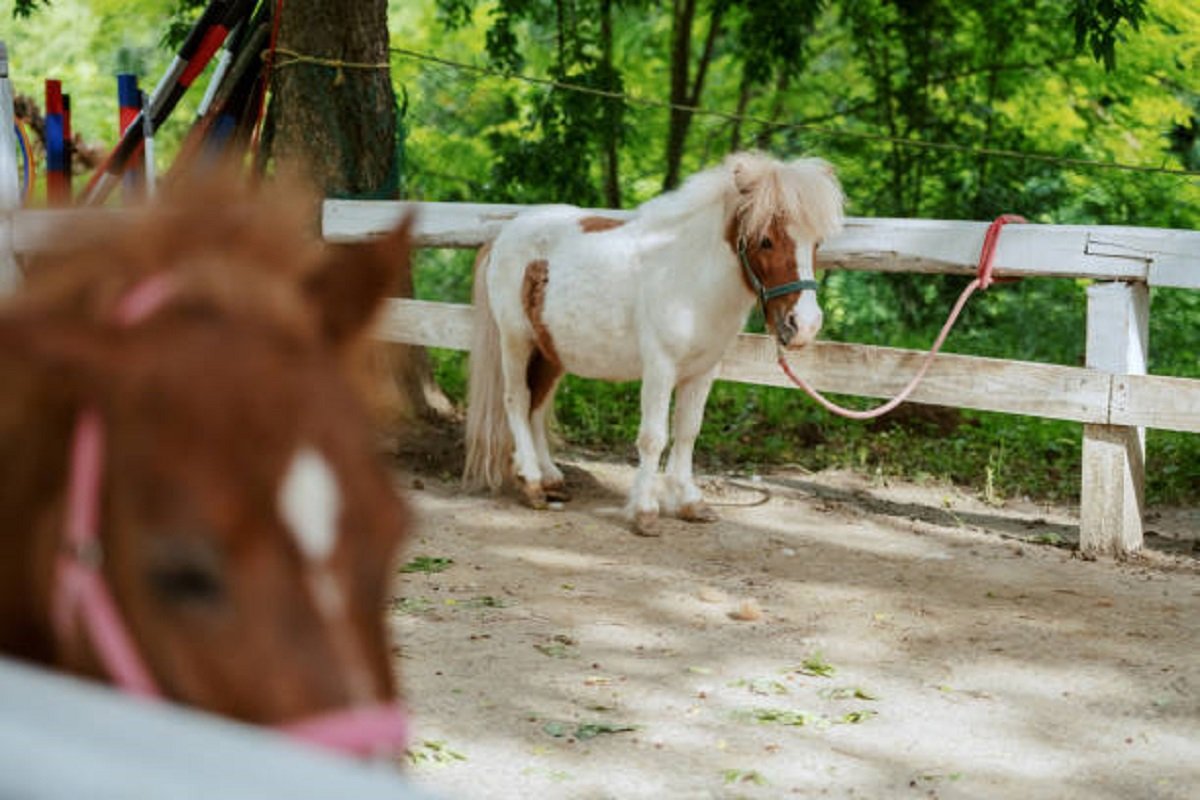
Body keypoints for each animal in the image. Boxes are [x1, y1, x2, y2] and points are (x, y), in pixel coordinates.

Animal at [464, 151, 845, 536]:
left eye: (816, 243)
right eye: (765, 240)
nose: (804, 326)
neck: (689, 277)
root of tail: (502, 236)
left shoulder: (703, 371)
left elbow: (688, 431)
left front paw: (691, 503)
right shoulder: (660, 367)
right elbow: (653, 437)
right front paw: (645, 512)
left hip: (551, 350)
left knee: (537, 406)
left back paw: (552, 479)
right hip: (516, 341)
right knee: (517, 400)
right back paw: (532, 483)